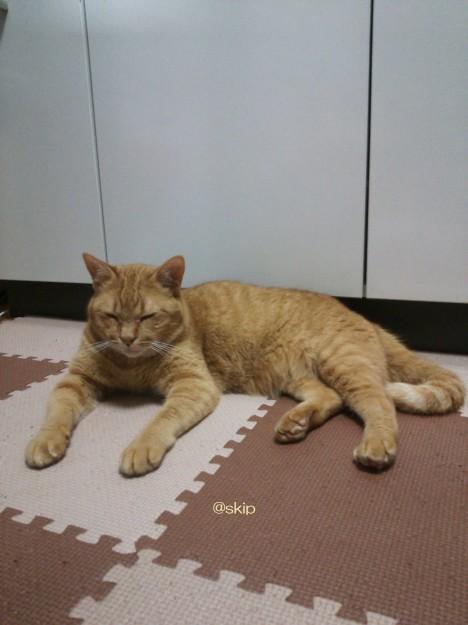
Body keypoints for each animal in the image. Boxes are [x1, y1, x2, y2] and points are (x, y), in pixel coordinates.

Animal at [25, 254, 465, 476]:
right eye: (112, 317)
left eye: (148, 317)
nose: (128, 339)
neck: (132, 366)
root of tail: (363, 316)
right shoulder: (75, 381)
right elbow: (57, 412)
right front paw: (46, 441)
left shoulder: (193, 385)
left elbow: (159, 420)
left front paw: (141, 447)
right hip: (296, 375)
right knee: (331, 398)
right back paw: (295, 424)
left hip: (343, 364)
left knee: (379, 402)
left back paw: (376, 446)